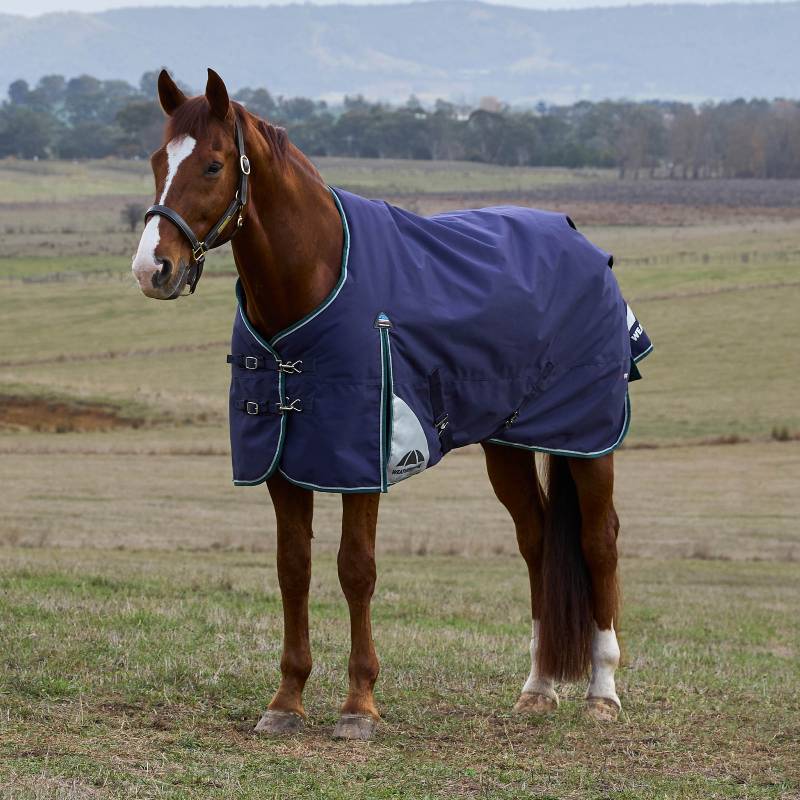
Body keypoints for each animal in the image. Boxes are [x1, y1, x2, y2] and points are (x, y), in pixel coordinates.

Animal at [132, 68, 641, 740]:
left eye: (213, 165)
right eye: (158, 160)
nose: (152, 268)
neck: (316, 280)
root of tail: (582, 245)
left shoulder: (361, 463)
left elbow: (356, 569)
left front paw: (358, 706)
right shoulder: (283, 463)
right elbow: (293, 568)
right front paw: (286, 701)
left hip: (588, 441)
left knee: (598, 540)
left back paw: (602, 691)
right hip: (507, 444)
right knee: (536, 541)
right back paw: (537, 687)